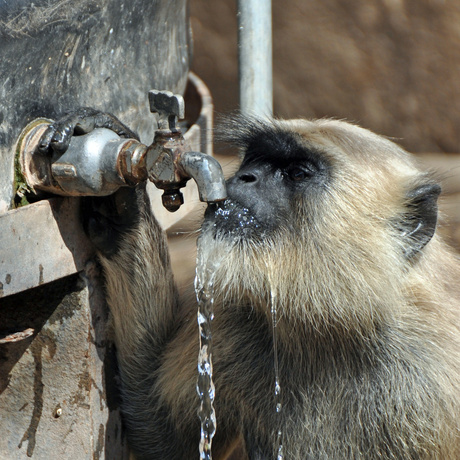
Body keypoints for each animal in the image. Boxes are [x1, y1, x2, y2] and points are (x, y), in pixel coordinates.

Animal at [41, 112, 460, 460]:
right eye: (254, 161)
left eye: (297, 173)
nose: (245, 177)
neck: (337, 324)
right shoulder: (237, 321)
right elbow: (163, 441)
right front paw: (120, 199)